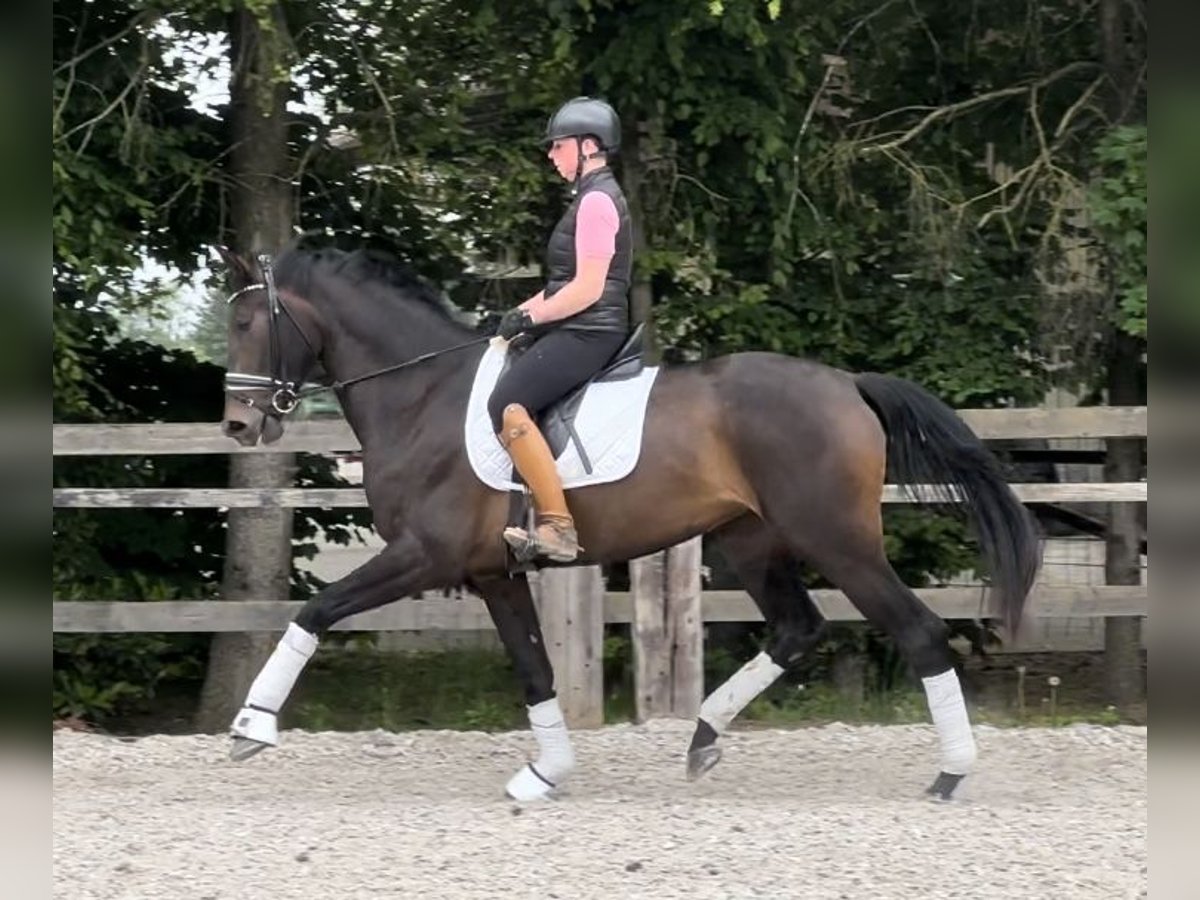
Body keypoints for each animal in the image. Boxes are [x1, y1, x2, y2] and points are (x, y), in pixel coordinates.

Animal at [216, 244, 1040, 802]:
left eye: (249, 321)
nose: (237, 425)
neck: (423, 395)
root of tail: (848, 384)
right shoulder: (490, 573)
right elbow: (536, 670)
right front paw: (546, 774)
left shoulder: (425, 555)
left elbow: (316, 609)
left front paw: (251, 727)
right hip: (752, 542)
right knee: (797, 628)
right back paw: (703, 738)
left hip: (838, 542)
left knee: (918, 631)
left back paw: (949, 774)